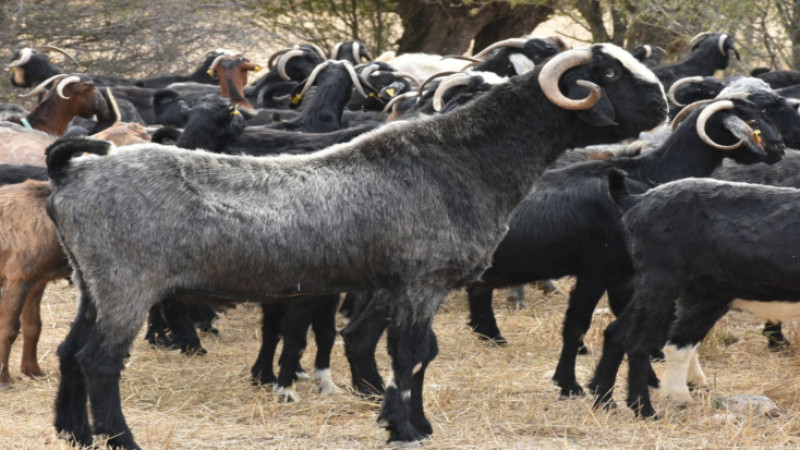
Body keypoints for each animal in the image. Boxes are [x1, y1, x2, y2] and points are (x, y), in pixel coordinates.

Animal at [0, 179, 69, 386]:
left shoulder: (37, 281)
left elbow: (33, 326)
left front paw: (32, 370)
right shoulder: (17, 278)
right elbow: (9, 328)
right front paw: (3, 378)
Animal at [592, 173, 800, 418]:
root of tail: (635, 201)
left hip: (674, 289)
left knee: (617, 332)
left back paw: (604, 401)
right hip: (665, 281)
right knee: (639, 340)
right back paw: (646, 408)